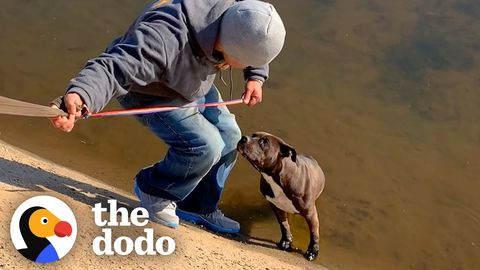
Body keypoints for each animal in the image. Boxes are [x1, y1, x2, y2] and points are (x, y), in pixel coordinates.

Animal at [237, 132, 326, 260]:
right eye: (253, 135)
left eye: (264, 142)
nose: (244, 138)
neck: (275, 178)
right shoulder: (276, 205)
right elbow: (284, 224)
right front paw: (286, 241)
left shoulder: (310, 212)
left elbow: (314, 233)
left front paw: (312, 252)